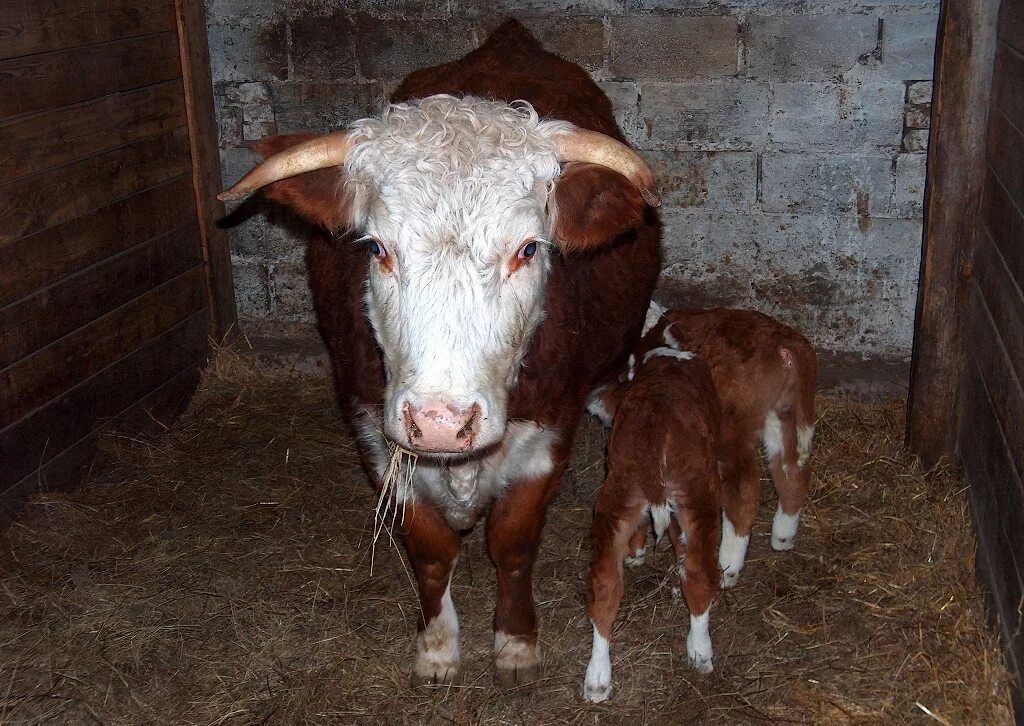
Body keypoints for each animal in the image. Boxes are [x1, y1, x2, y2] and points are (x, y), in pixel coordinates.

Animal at [219, 18, 659, 684]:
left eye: (529, 248)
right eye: (376, 247)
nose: (440, 423)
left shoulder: (549, 435)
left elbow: (513, 544)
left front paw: (515, 642)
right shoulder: (376, 436)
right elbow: (429, 551)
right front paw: (436, 647)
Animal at [593, 303, 815, 585]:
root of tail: (786, 342)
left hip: (732, 427)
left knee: (743, 491)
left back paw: (728, 567)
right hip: (782, 414)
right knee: (791, 471)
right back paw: (782, 537)